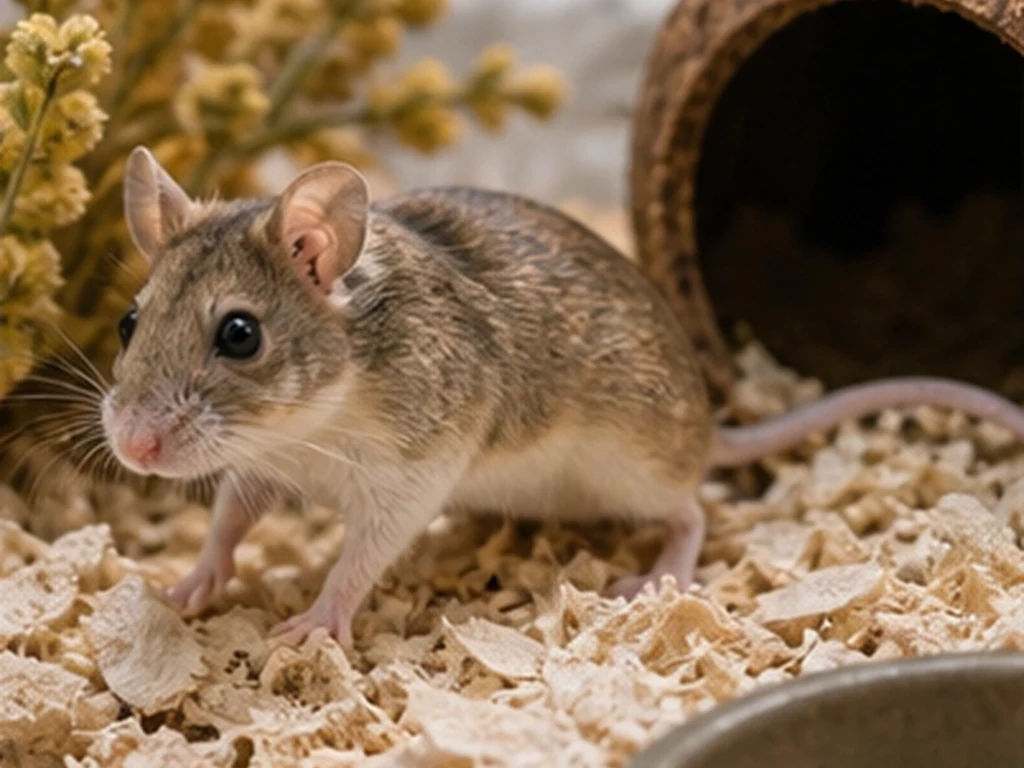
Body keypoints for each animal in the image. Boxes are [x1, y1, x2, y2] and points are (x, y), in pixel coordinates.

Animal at [101, 146, 1024, 647]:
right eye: (128, 321)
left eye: (240, 335)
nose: (134, 449)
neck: (322, 405)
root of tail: (711, 427)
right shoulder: (260, 464)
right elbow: (228, 522)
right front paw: (180, 589)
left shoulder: (407, 478)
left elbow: (358, 558)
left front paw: (310, 627)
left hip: (629, 469)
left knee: (694, 510)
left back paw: (655, 581)